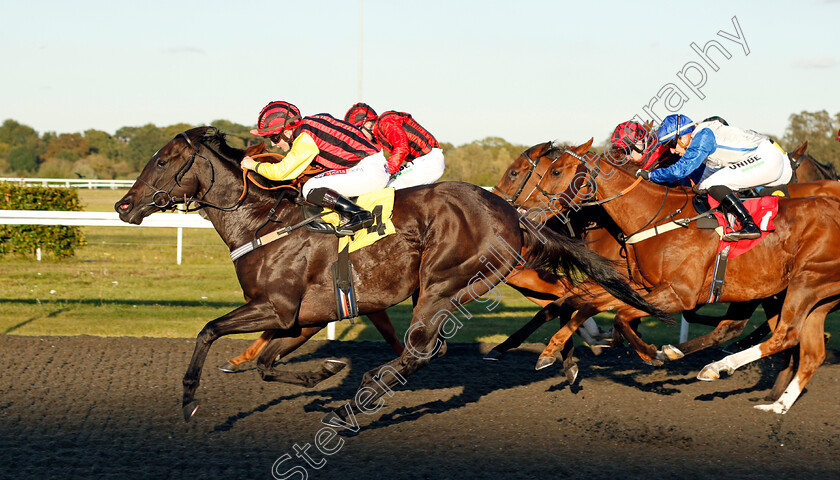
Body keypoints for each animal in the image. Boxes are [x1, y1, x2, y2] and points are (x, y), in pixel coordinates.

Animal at [115, 128, 668, 424]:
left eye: (163, 161)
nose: (123, 205)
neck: (263, 223)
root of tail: (511, 210)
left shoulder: (275, 307)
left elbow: (208, 330)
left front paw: (189, 401)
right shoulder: (302, 318)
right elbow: (267, 363)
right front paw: (325, 370)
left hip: (443, 281)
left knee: (426, 349)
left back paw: (361, 400)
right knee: (561, 297)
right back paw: (565, 357)